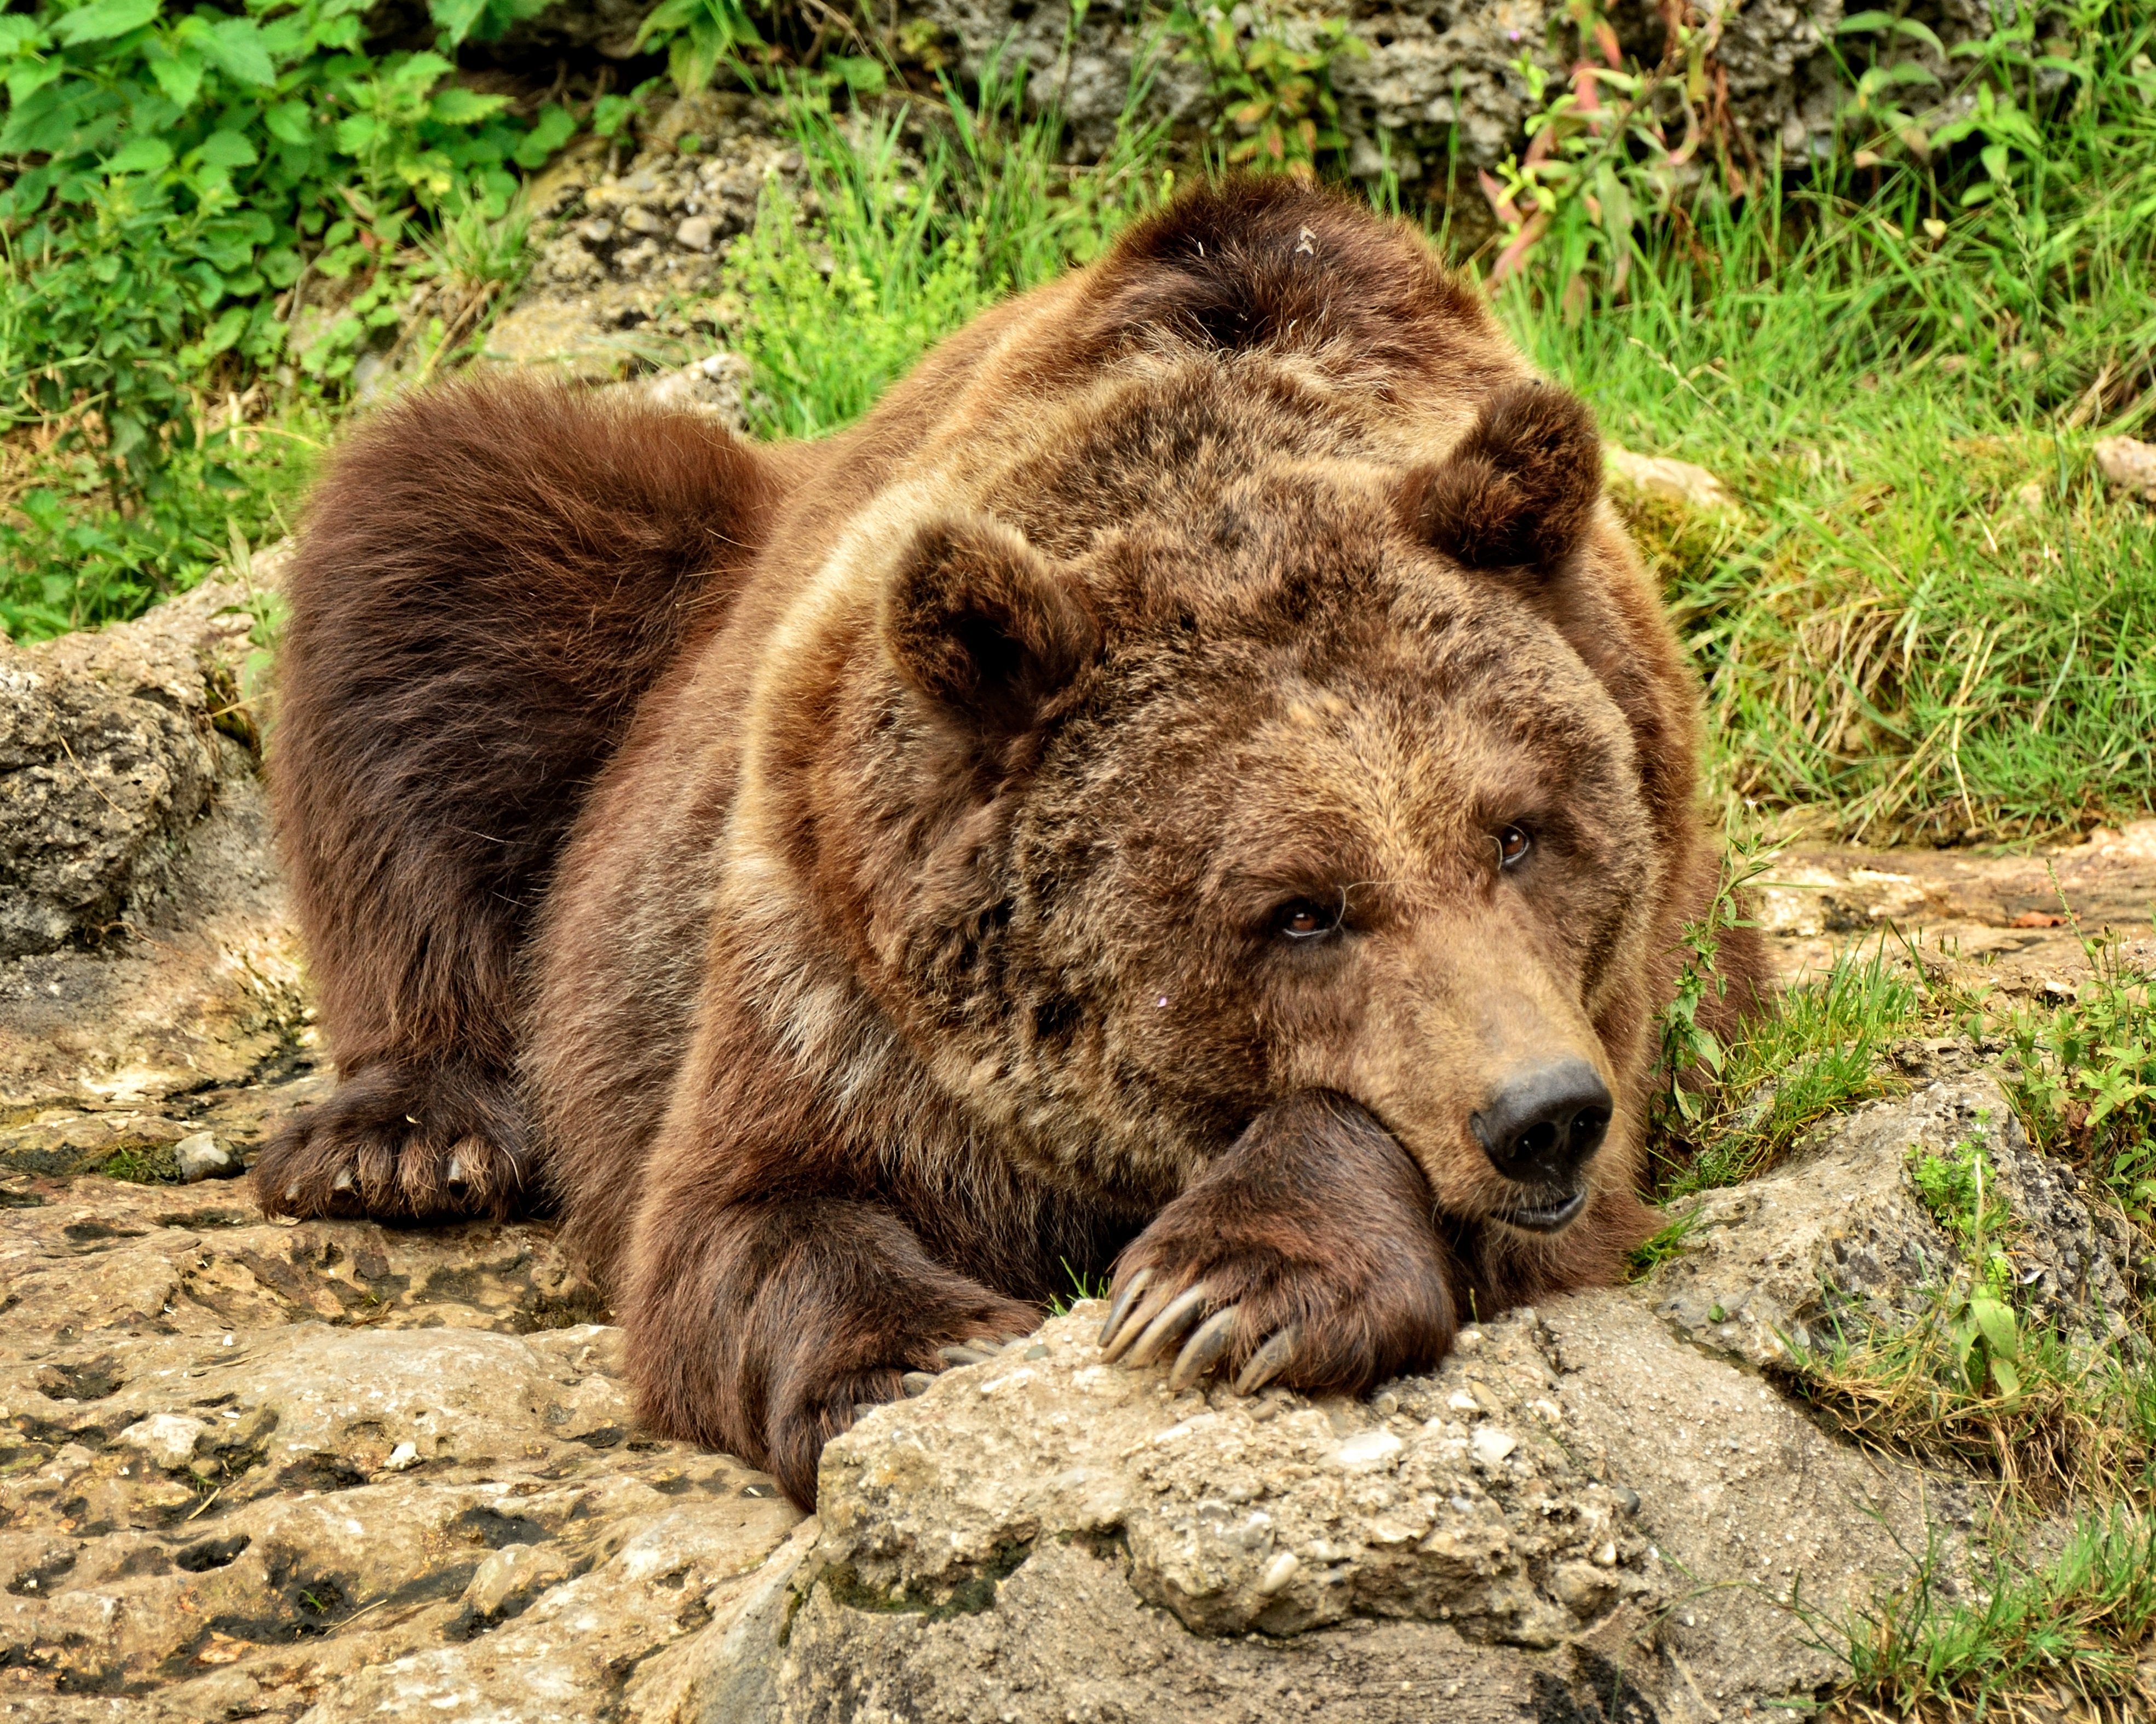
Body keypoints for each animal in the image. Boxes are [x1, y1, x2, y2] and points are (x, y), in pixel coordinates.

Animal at [256, 178, 1768, 1508]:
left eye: (1517, 832)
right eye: (1296, 908)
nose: (1538, 1114)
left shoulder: (1628, 1000)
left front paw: (1224, 1289)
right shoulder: (833, 968)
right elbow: (737, 1219)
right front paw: (917, 1353)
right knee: (434, 525)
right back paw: (407, 1137)